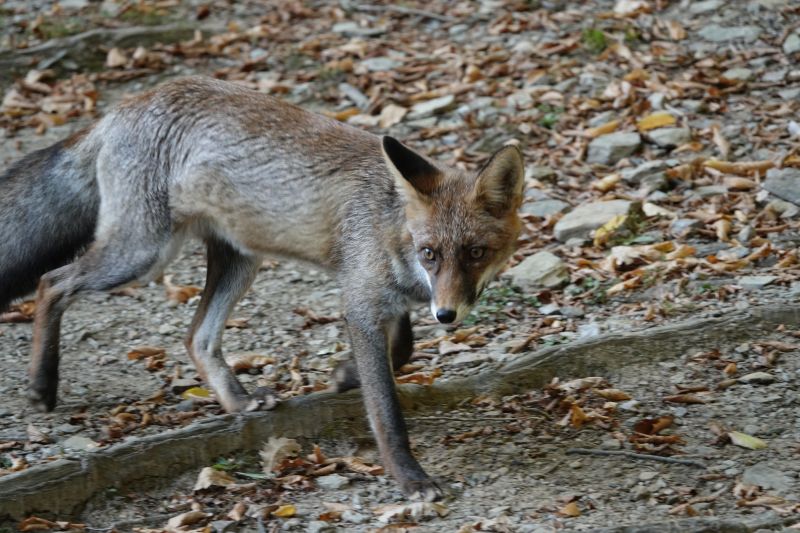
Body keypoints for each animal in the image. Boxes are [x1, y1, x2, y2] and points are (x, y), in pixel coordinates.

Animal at [0, 76, 524, 500]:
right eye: (430, 253)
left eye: (475, 253)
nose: (447, 316)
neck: (390, 226)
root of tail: (121, 108)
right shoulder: (360, 301)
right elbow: (386, 410)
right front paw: (410, 478)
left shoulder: (385, 301)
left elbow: (403, 350)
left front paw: (345, 374)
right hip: (140, 255)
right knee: (51, 283)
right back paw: (41, 385)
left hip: (238, 262)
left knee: (196, 338)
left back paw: (237, 401)